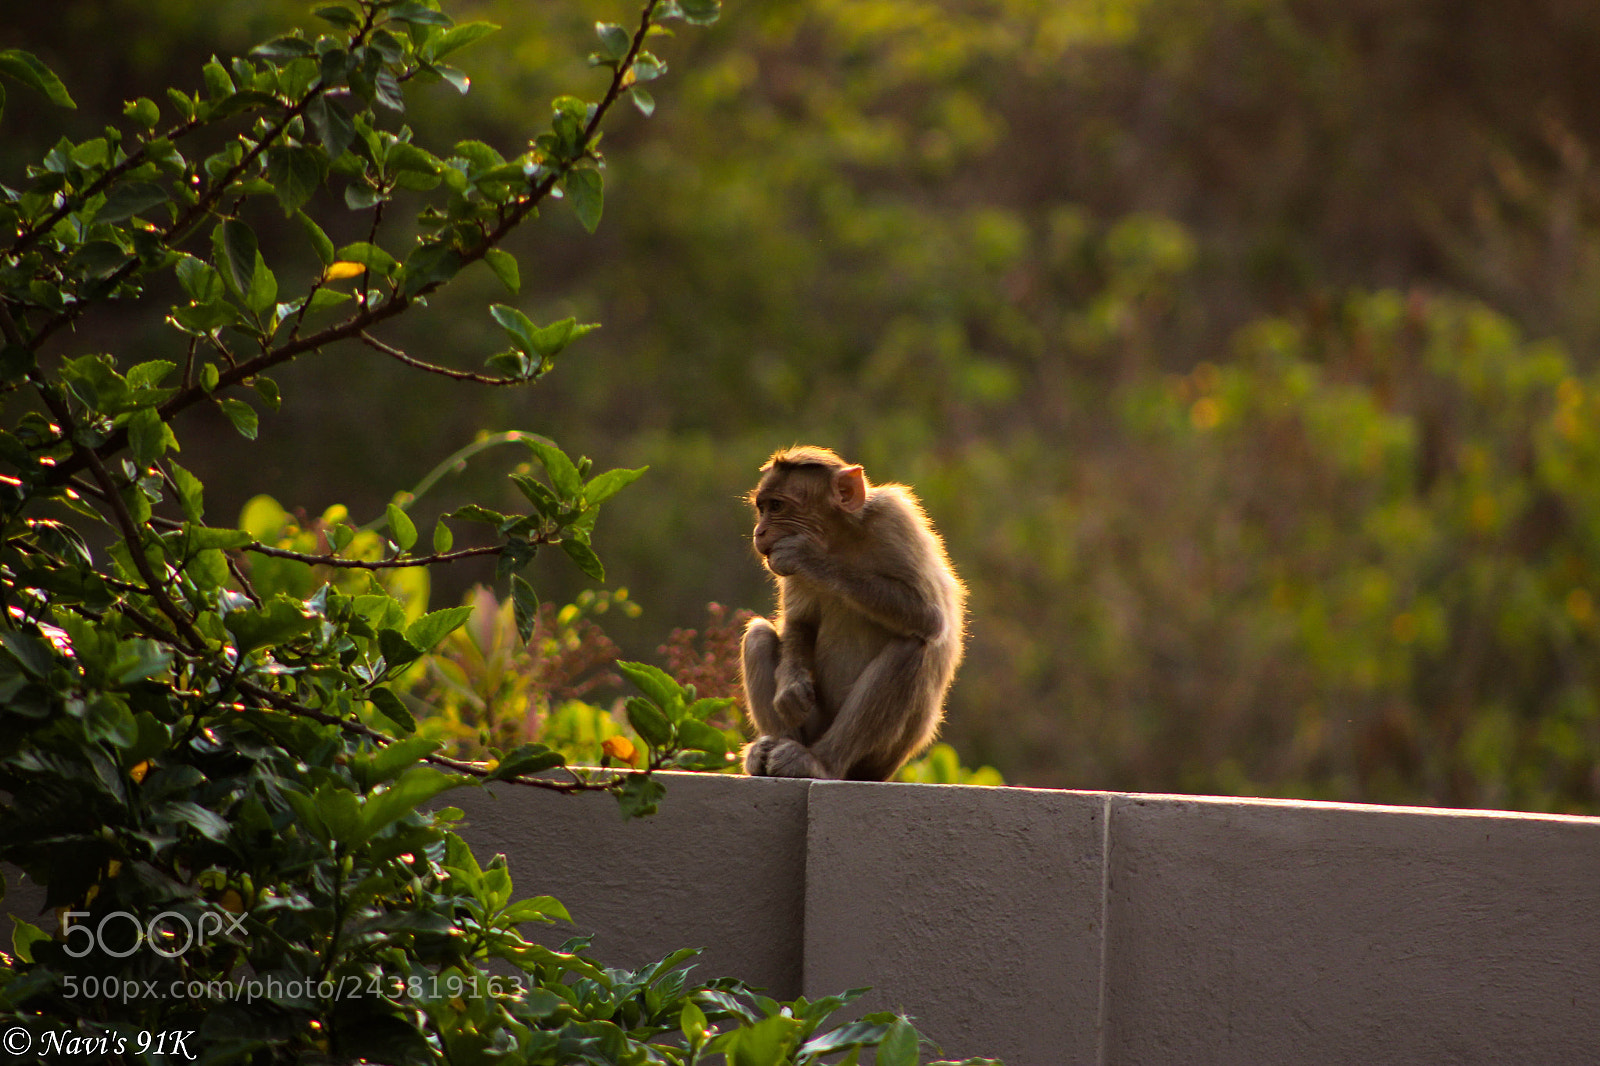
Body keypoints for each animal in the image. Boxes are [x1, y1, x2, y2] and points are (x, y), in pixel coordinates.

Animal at [739, 446, 966, 781]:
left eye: (777, 506)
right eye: (762, 507)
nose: (759, 531)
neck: (839, 538)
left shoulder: (895, 519)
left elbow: (929, 617)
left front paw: (809, 556)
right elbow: (800, 622)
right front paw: (791, 685)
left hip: (882, 758)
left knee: (911, 648)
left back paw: (819, 762)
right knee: (757, 636)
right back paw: (771, 751)